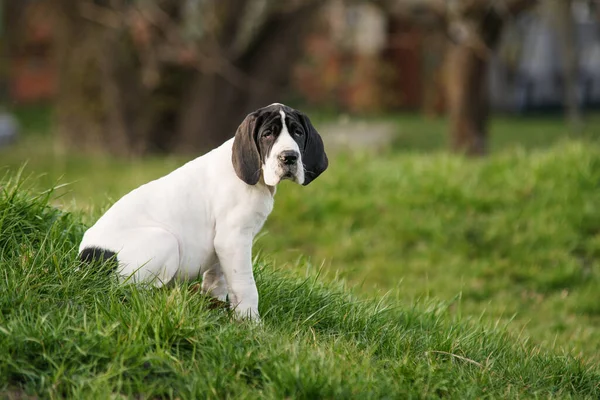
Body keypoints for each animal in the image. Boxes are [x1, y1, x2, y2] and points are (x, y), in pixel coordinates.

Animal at [79, 104, 328, 322]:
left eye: (298, 133)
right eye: (267, 134)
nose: (289, 157)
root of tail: (85, 259)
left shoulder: (223, 244)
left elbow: (218, 279)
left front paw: (215, 307)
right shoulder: (234, 240)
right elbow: (245, 285)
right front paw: (251, 323)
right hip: (165, 240)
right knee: (134, 290)